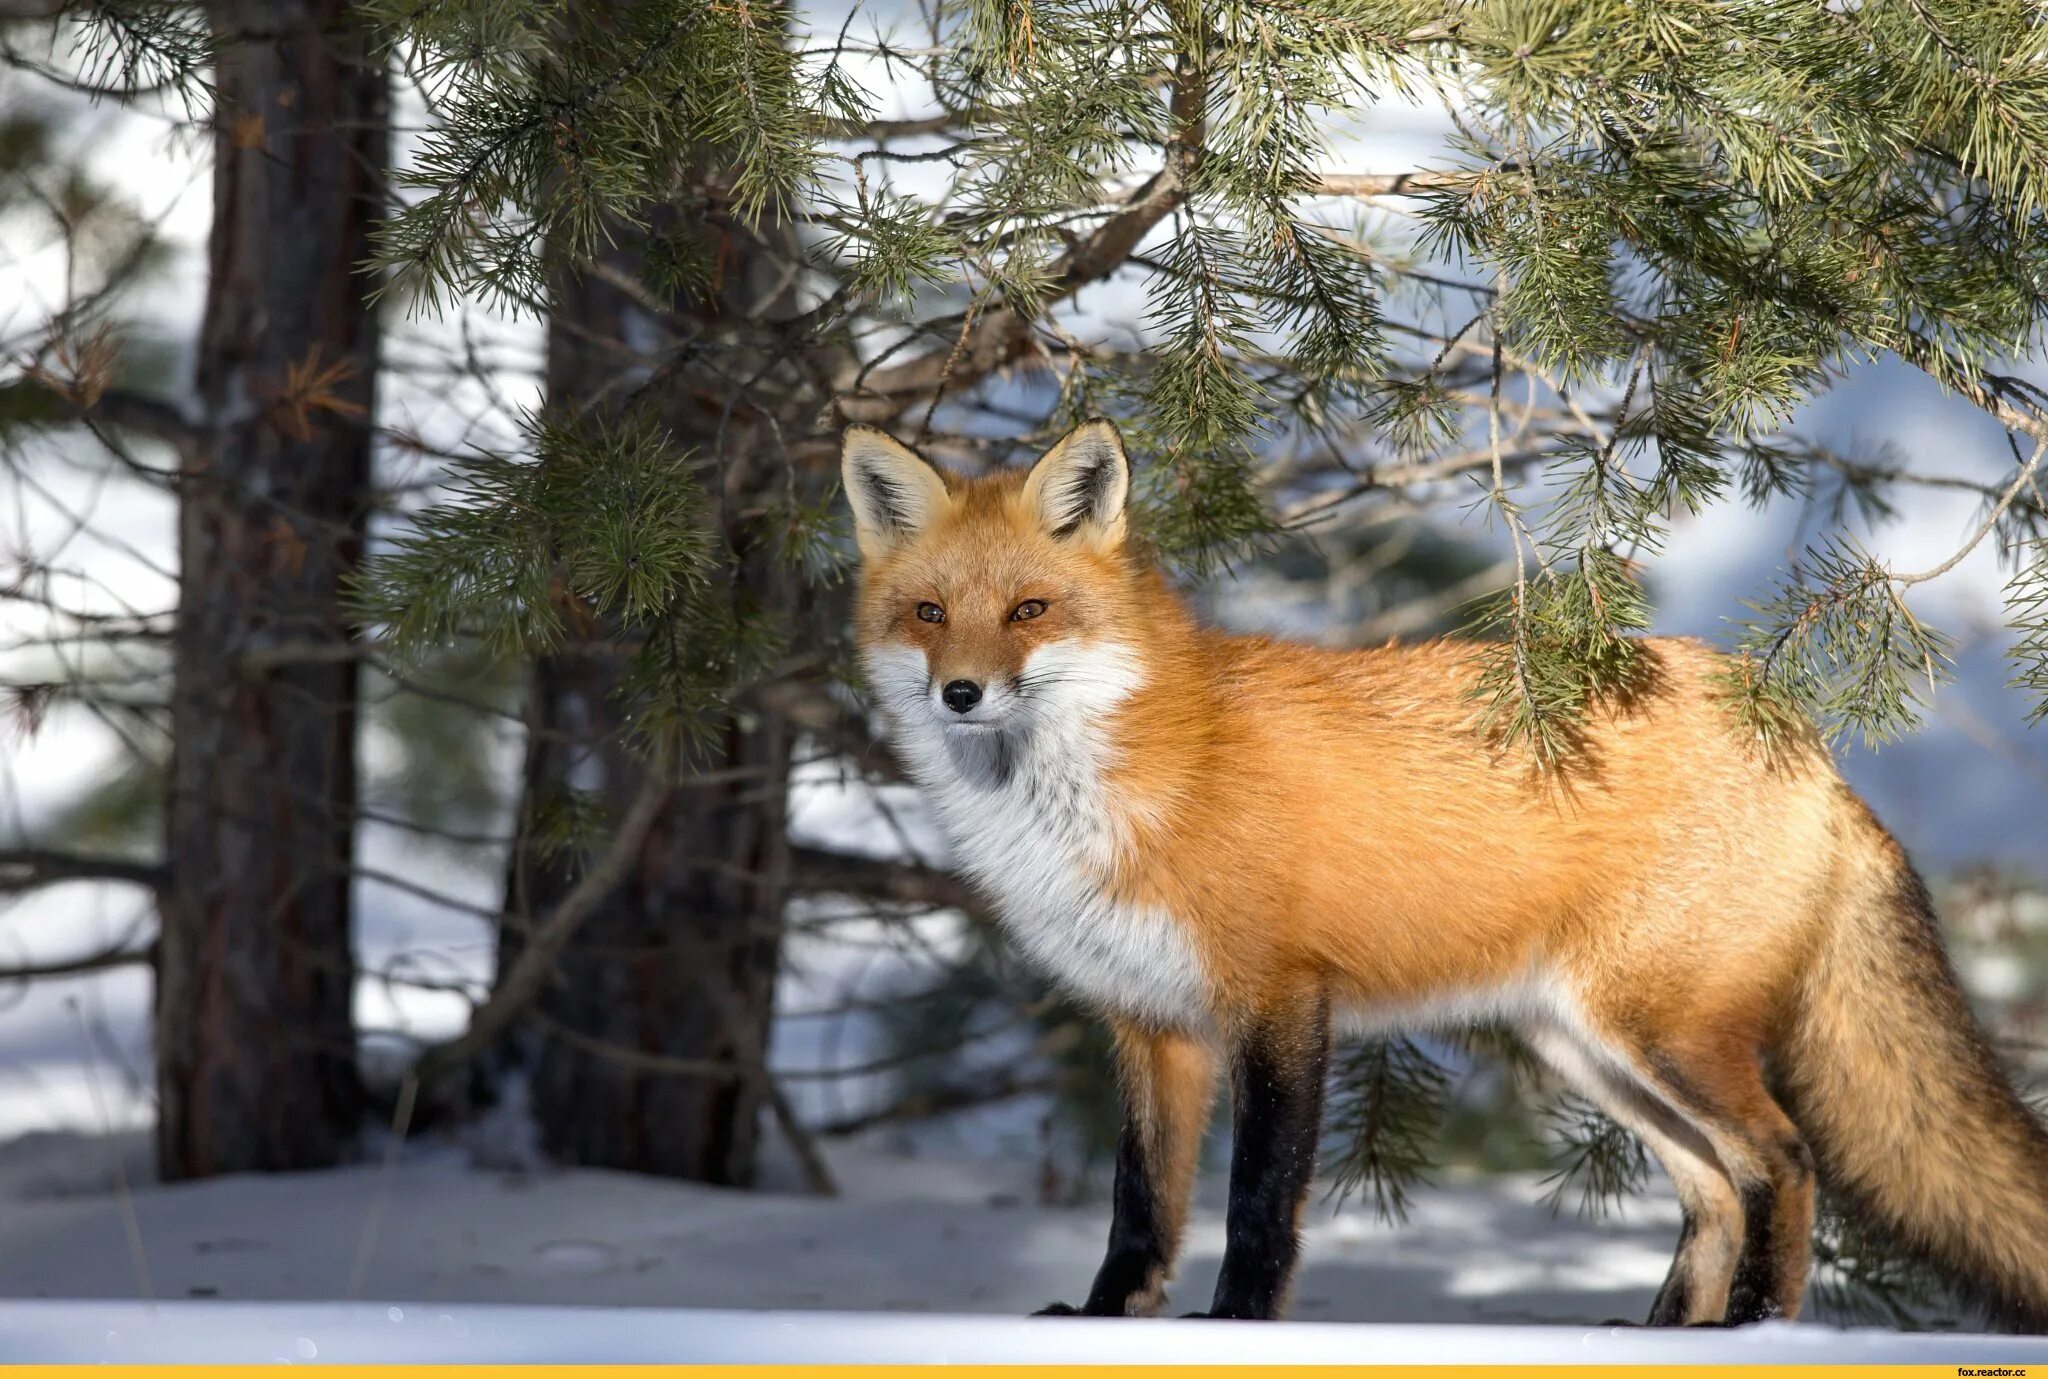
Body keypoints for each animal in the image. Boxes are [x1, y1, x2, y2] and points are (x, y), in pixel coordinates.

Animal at [839, 413, 2048, 1327]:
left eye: (1030, 611)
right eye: (930, 613)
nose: (960, 693)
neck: (1121, 783)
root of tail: (1802, 735)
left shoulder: (1281, 1000)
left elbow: (1256, 1203)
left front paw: (1234, 1327)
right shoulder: (1148, 1022)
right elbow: (1141, 1206)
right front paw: (1101, 1324)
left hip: (1660, 1033)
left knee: (1784, 1163)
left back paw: (1752, 1333)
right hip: (1586, 1046)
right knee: (1716, 1189)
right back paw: (1662, 1335)